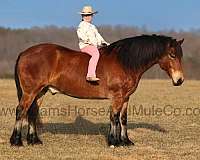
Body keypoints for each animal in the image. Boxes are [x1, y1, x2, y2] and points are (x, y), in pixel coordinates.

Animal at [10, 35, 184, 148]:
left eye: (180, 56)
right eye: (172, 54)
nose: (180, 80)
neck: (124, 61)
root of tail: (24, 53)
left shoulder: (125, 97)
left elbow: (123, 119)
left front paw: (126, 141)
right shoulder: (117, 97)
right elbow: (114, 118)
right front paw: (114, 142)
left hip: (40, 92)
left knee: (32, 112)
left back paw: (34, 141)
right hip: (30, 92)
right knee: (21, 111)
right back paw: (16, 141)